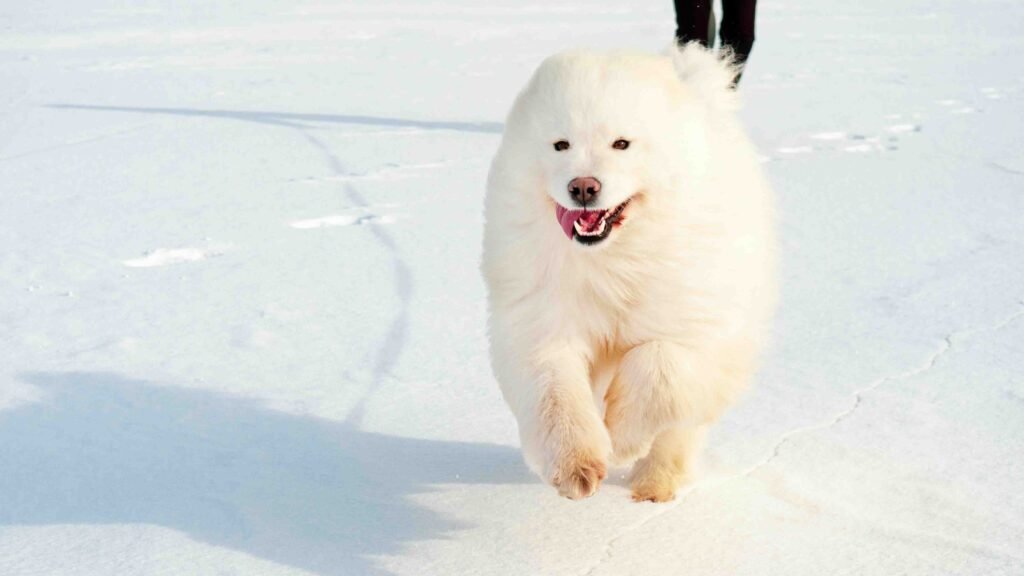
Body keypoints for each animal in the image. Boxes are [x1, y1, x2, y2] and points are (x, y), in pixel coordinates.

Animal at [483, 44, 770, 500]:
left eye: (621, 144)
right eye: (561, 144)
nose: (583, 187)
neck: (615, 260)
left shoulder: (694, 328)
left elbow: (658, 367)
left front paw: (620, 443)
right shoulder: (543, 322)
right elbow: (556, 393)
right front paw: (577, 466)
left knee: (679, 434)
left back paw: (655, 484)